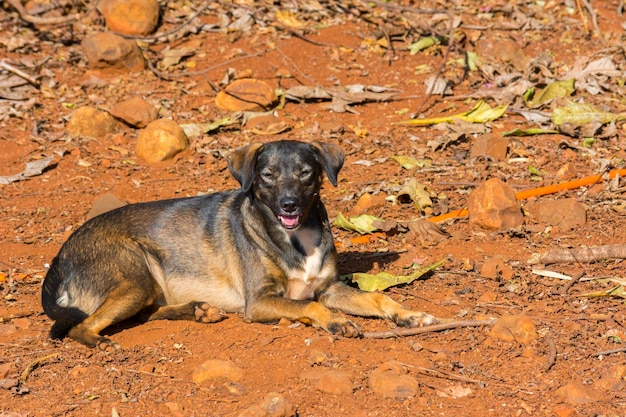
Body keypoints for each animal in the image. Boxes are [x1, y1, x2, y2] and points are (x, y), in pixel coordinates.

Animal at [42, 139, 434, 348]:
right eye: (268, 175)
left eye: (306, 173)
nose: (289, 205)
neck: (296, 238)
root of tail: (60, 255)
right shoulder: (258, 302)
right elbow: (309, 306)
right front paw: (337, 323)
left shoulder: (330, 288)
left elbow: (377, 298)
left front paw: (408, 314)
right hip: (135, 275)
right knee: (80, 325)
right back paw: (100, 341)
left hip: (146, 286)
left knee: (143, 312)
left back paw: (197, 311)